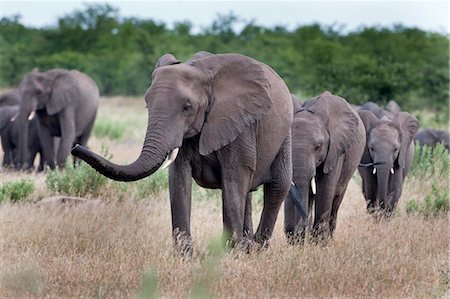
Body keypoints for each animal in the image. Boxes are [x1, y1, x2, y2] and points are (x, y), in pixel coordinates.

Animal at [72, 52, 294, 254]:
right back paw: (247, 246)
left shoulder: (238, 122)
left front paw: (231, 254)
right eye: (147, 105)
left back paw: (257, 248)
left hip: (285, 133)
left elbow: (234, 177)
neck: (202, 72)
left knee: (276, 187)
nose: (76, 147)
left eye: (187, 107)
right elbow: (179, 178)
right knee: (247, 192)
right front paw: (185, 256)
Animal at [284, 92, 366, 244]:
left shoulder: (336, 149)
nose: (300, 232)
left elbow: (325, 188)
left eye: (318, 147)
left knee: (336, 201)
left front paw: (318, 243)